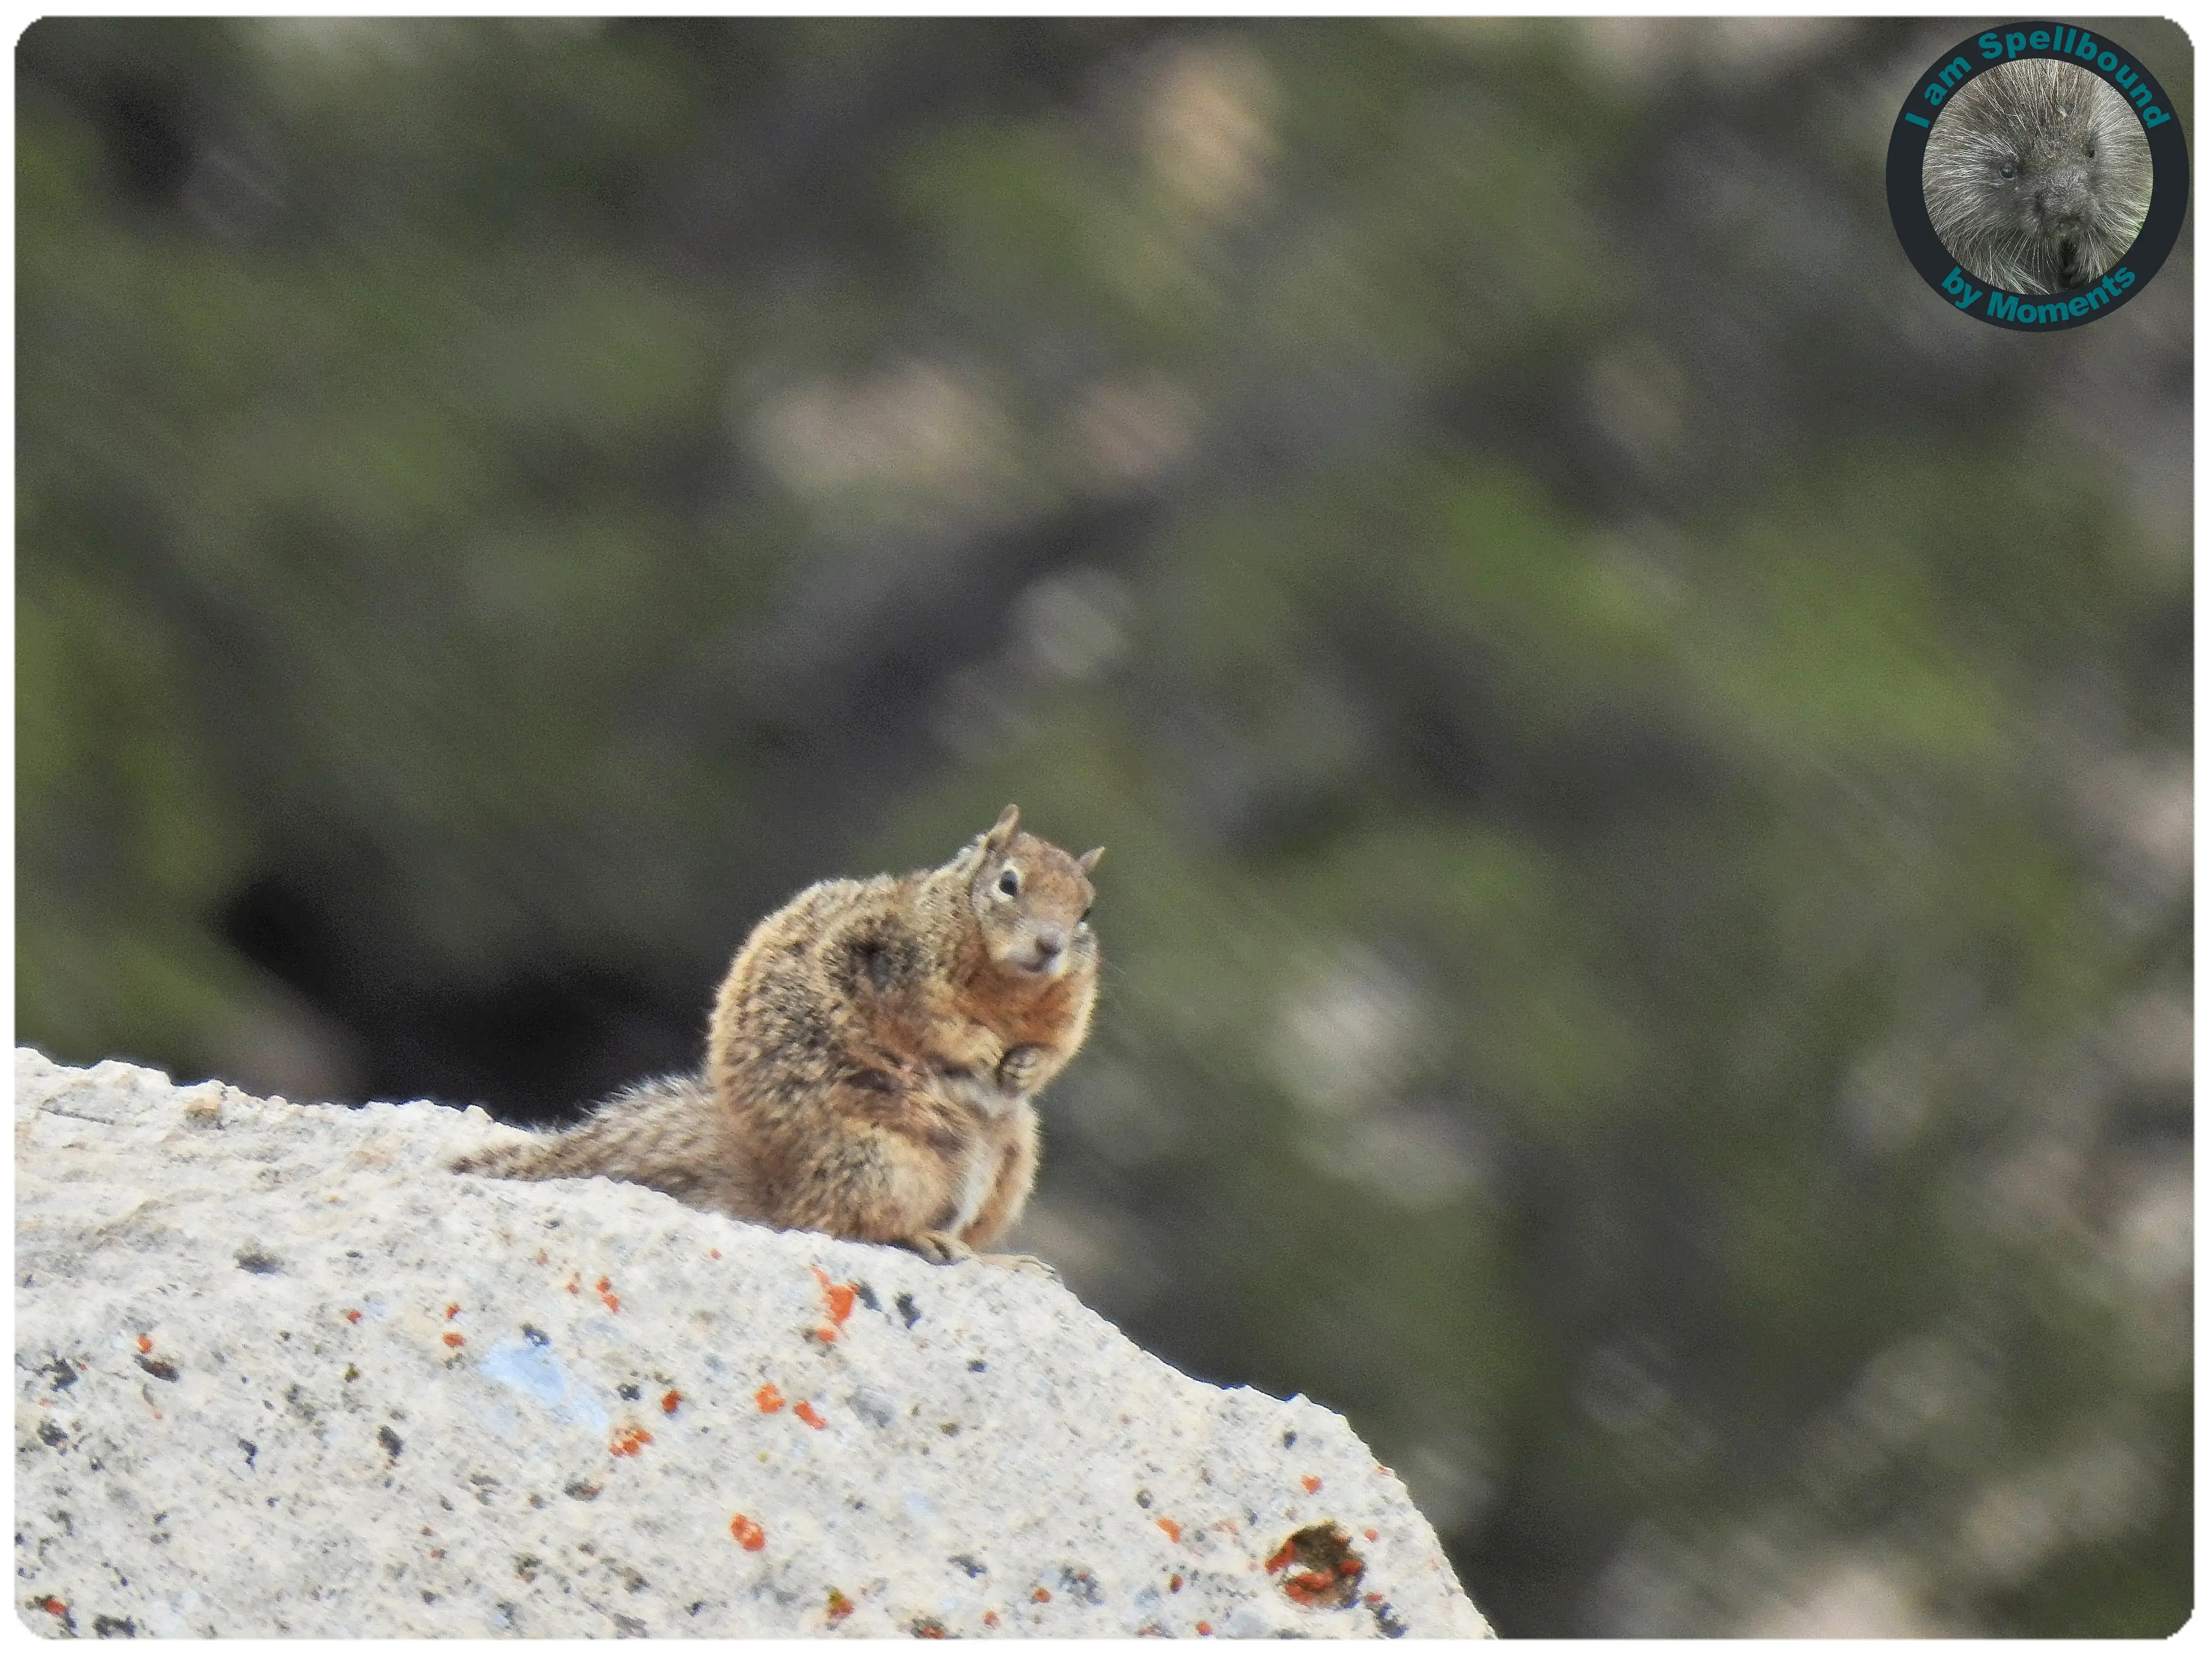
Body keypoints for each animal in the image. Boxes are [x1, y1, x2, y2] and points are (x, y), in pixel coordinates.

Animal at [453, 805, 1102, 1271]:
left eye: (1087, 911)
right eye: (1009, 884)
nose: (1050, 946)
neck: (1007, 985)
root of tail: (778, 1191)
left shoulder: (1070, 1002)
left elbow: (1061, 1044)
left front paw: (1025, 1066)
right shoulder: (897, 967)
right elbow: (933, 1022)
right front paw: (980, 1047)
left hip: (1010, 1166)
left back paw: (999, 1261)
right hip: (886, 1163)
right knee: (847, 1224)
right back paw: (925, 1238)